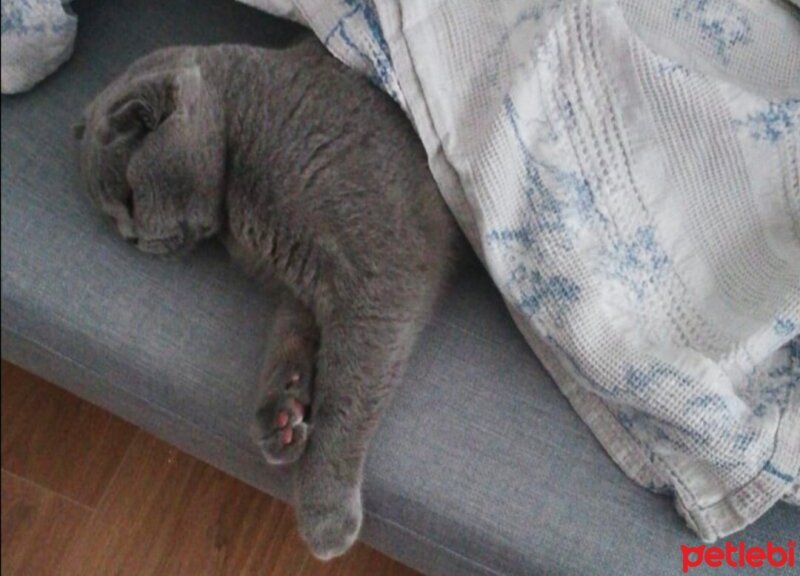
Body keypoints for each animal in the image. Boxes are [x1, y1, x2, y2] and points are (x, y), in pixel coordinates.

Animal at [76, 38, 462, 560]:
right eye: (111, 217)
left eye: (131, 199)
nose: (131, 238)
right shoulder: (299, 291)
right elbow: (288, 338)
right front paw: (283, 411)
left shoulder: (382, 272)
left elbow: (347, 392)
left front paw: (324, 513)